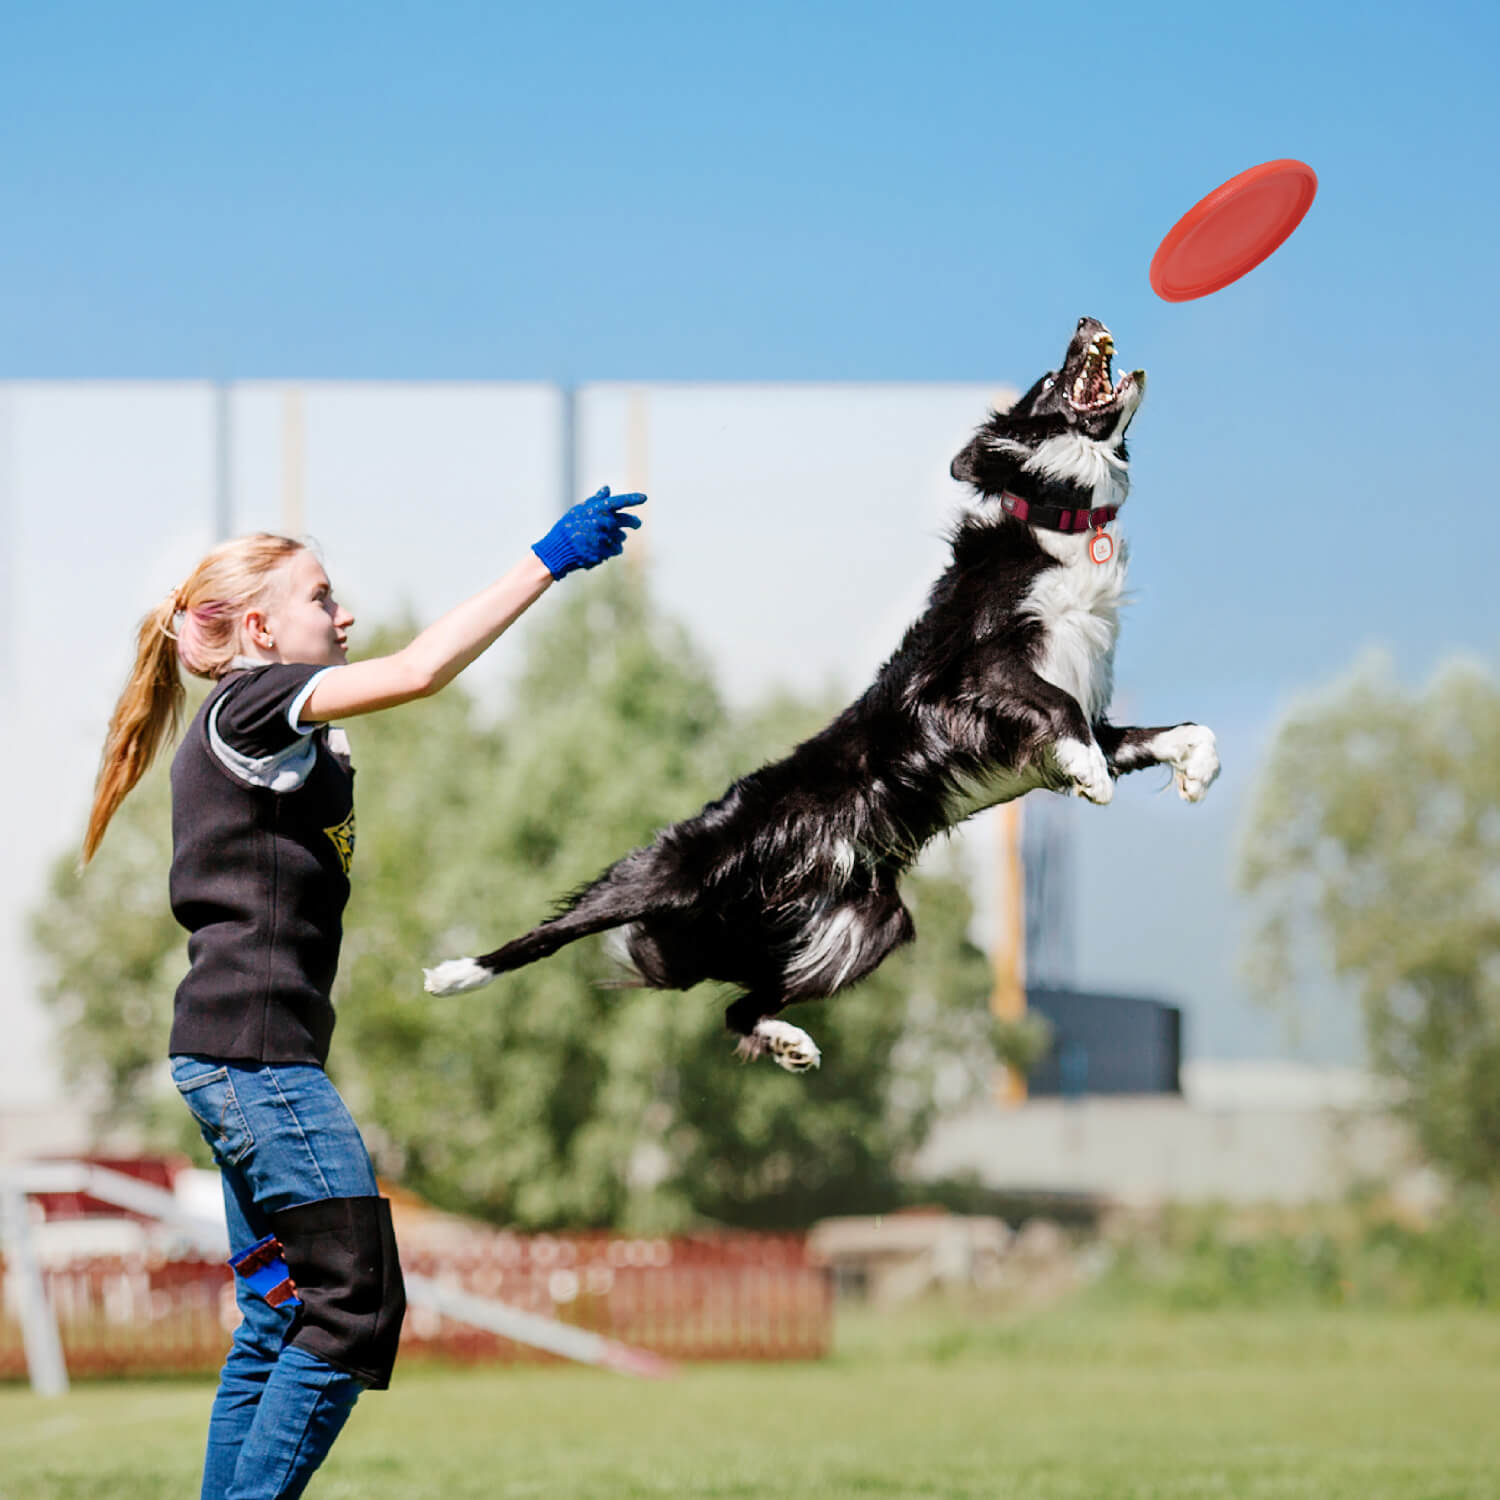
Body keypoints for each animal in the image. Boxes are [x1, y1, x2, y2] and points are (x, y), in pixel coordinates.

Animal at [426, 316, 1218, 1068]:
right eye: (1053, 378)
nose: (1086, 318)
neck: (1058, 521)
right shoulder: (965, 681)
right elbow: (1057, 709)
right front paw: (1093, 776)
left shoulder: (1078, 716)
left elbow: (1177, 730)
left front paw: (1195, 772)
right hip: (672, 868)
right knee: (557, 928)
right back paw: (455, 973)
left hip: (867, 926)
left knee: (739, 1006)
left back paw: (787, 1043)